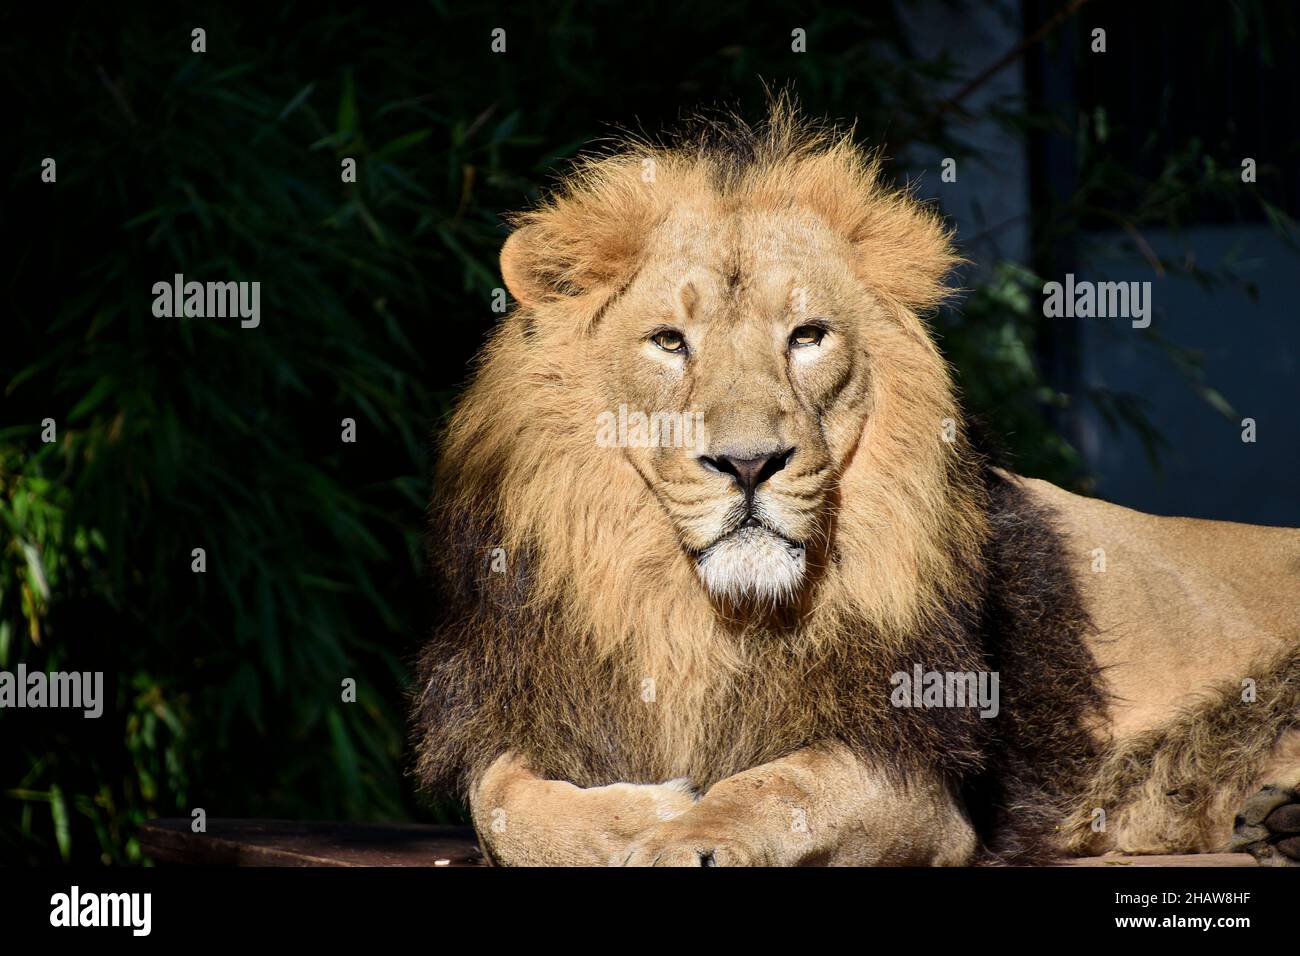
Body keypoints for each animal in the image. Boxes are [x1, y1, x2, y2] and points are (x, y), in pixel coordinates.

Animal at [413, 98, 1300, 868]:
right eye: (668, 341)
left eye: (807, 336)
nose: (749, 464)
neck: (701, 619)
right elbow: (500, 801)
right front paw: (645, 814)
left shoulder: (921, 774)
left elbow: (783, 785)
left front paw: (688, 833)